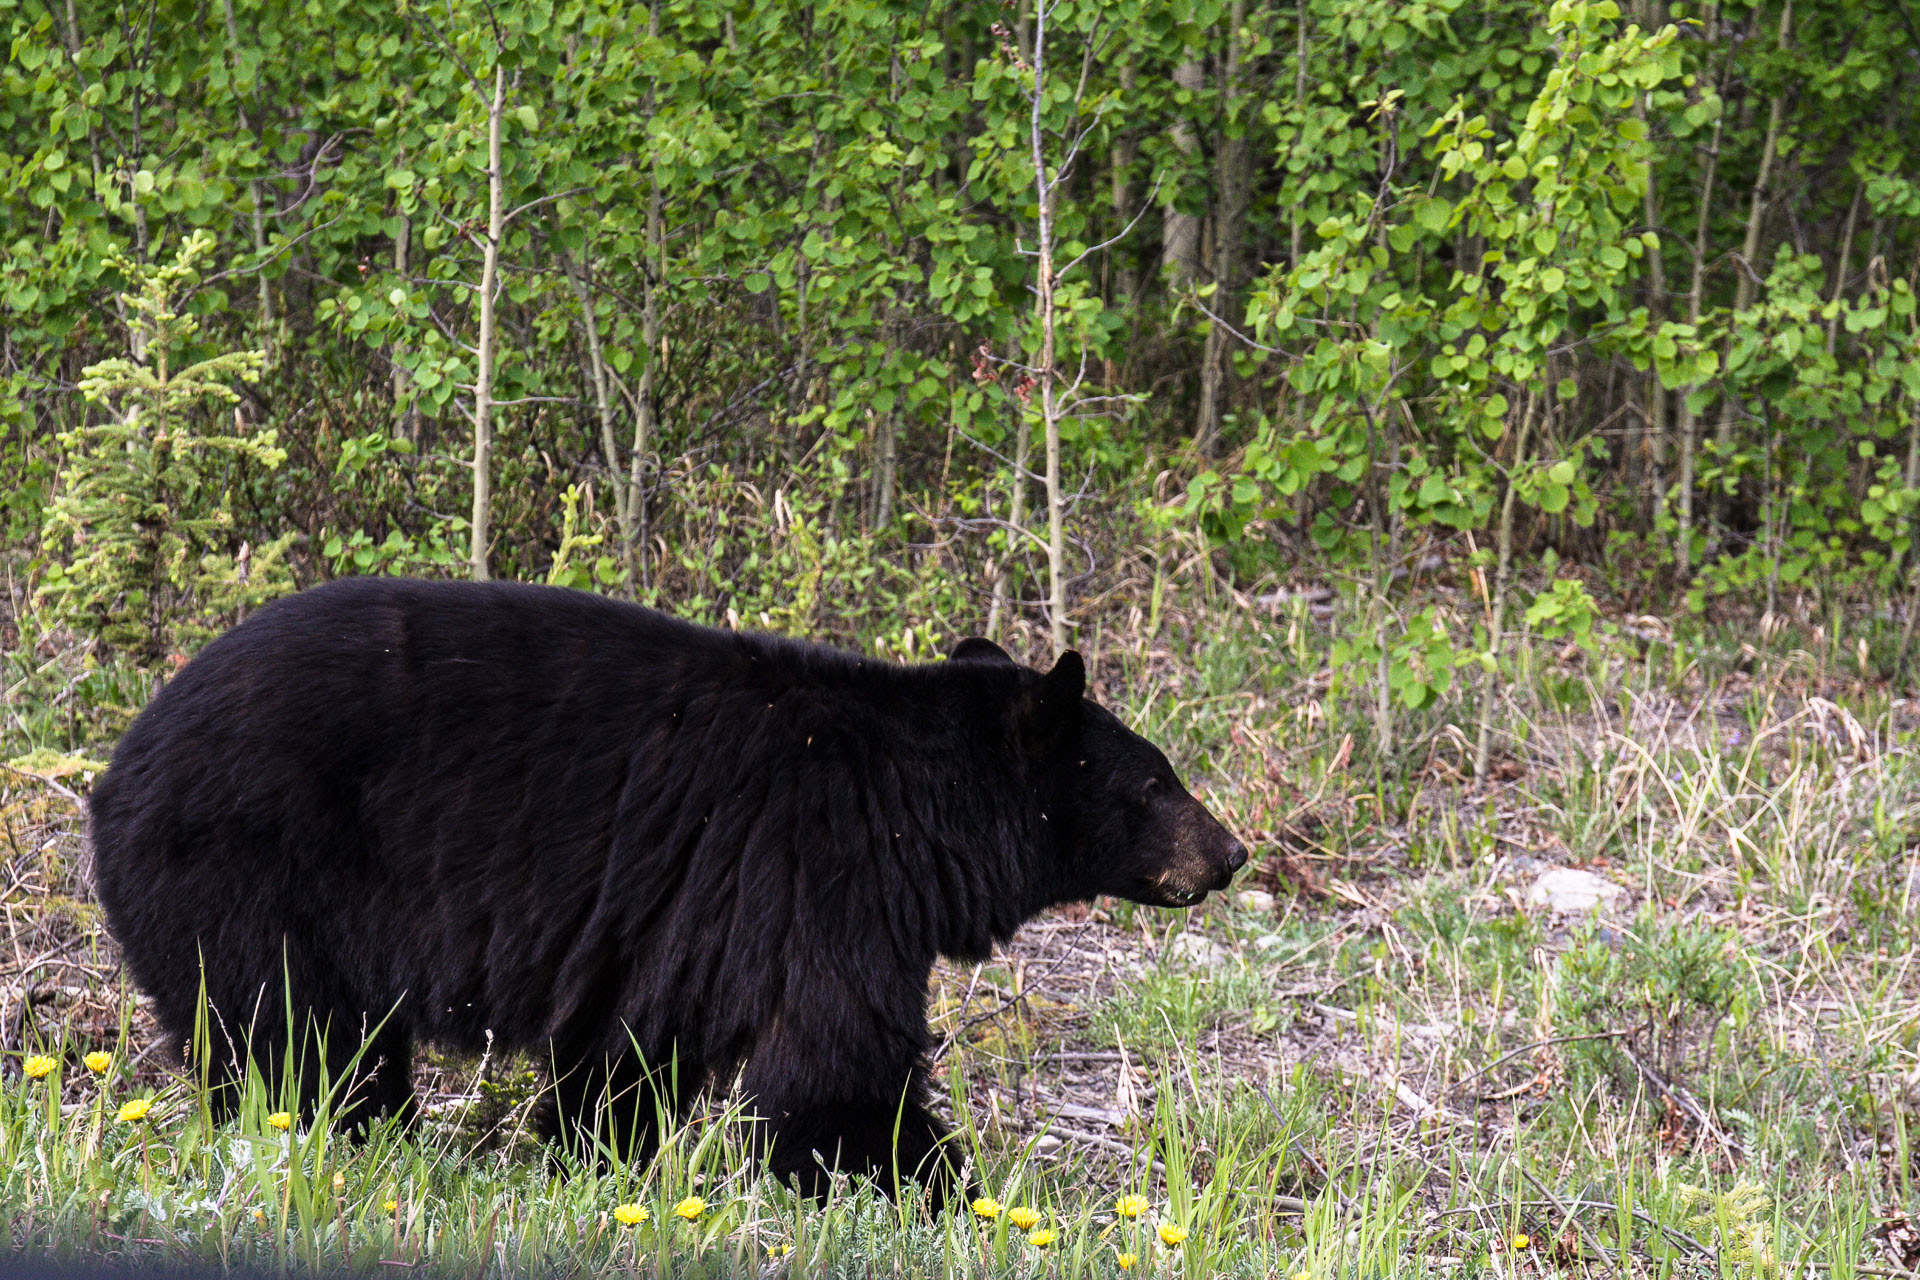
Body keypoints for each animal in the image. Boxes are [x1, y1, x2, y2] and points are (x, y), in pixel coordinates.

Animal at [90, 579, 1251, 1205]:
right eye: (1156, 781)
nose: (1232, 852)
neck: (914, 812)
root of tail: (114, 773)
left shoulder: (685, 923)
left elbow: (628, 1060)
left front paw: (583, 1168)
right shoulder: (822, 884)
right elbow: (834, 1077)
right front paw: (952, 1201)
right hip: (250, 872)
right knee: (299, 1041)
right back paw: (352, 1147)